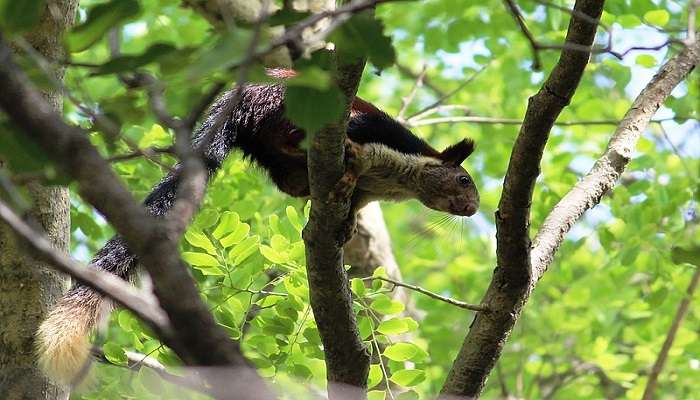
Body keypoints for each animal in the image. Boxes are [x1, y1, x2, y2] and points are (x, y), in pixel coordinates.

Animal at [35, 69, 478, 384]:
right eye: (463, 180)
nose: (473, 208)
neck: (399, 181)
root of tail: (244, 93)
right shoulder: (374, 133)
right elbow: (357, 137)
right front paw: (350, 166)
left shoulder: (368, 192)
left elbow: (353, 205)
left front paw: (348, 226)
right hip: (283, 106)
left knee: (290, 178)